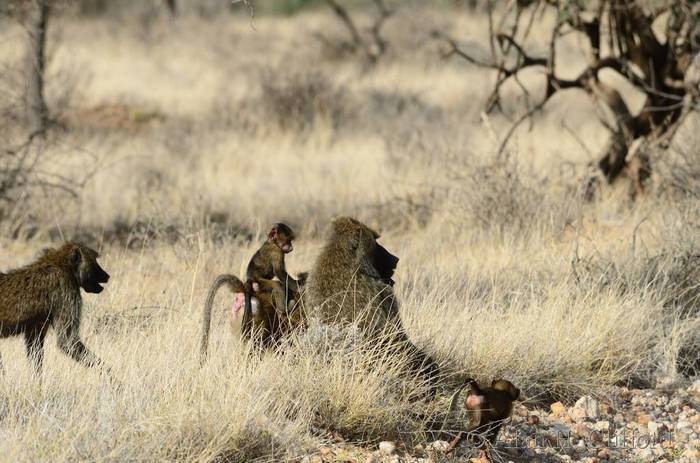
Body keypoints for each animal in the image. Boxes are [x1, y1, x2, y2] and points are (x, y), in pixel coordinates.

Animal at [0, 242, 110, 375]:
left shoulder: (36, 326)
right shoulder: (66, 290)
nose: (107, 276)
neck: (63, 266)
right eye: (94, 260)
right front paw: (110, 375)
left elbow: (35, 348)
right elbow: (67, 340)